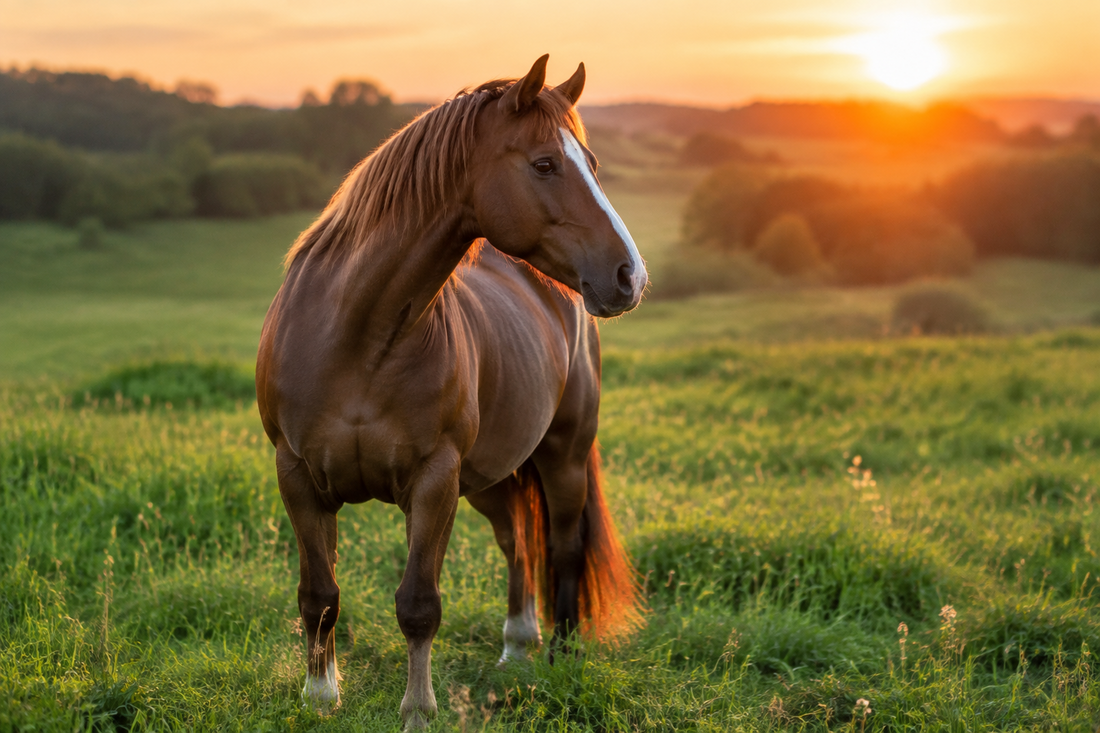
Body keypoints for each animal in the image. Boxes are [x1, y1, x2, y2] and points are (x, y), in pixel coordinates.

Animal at [256, 55, 646, 728]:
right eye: (545, 163)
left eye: (591, 163)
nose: (629, 275)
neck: (356, 337)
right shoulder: (298, 474)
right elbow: (319, 594)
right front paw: (321, 695)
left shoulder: (434, 479)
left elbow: (419, 605)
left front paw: (417, 709)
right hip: (488, 477)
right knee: (517, 539)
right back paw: (517, 647)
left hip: (562, 455)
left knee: (563, 548)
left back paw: (561, 658)